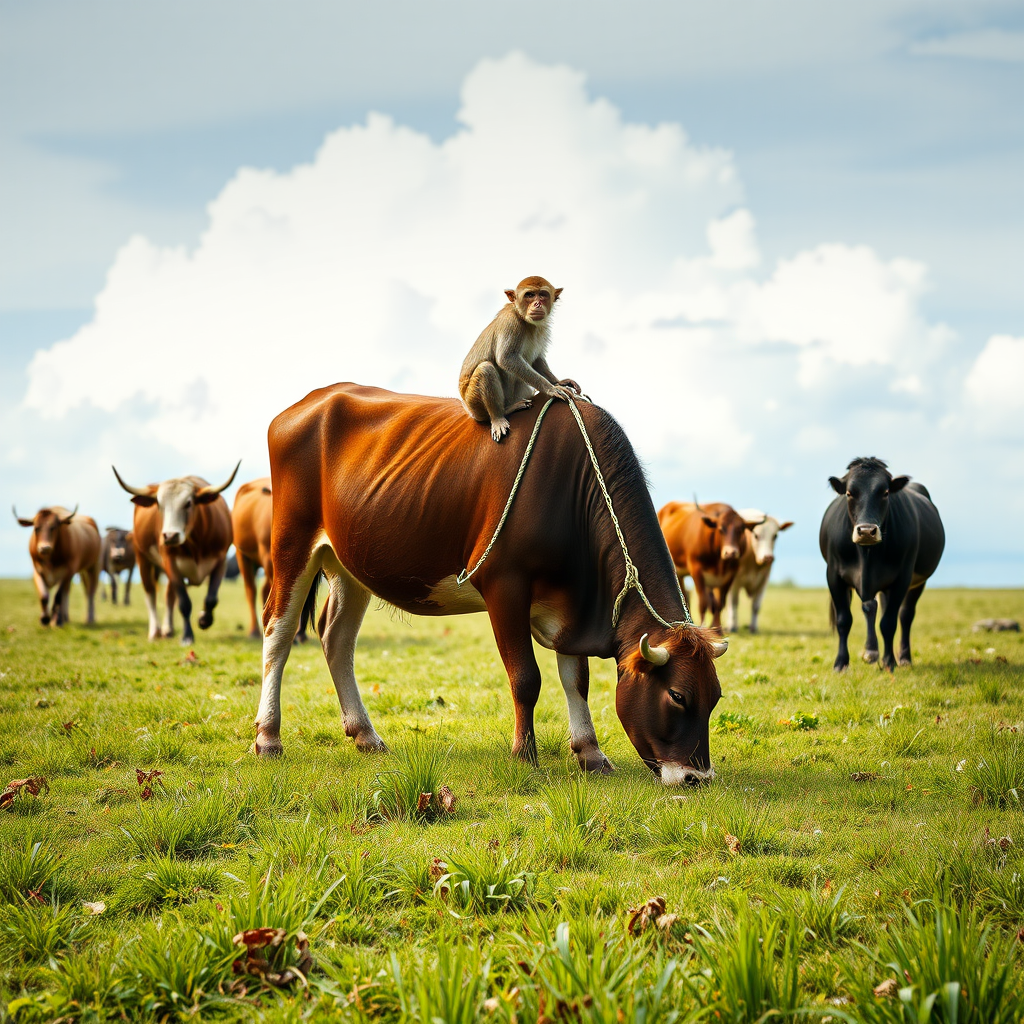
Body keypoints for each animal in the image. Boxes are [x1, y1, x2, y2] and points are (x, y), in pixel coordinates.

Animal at [112, 462, 239, 638]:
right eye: (159, 504)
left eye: (188, 503)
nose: (170, 536)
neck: (196, 542)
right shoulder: (170, 563)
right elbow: (184, 602)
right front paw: (187, 636)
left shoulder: (221, 560)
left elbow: (211, 598)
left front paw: (204, 620)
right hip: (143, 559)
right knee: (150, 593)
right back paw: (155, 631)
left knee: (169, 595)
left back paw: (168, 629)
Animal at [251, 385, 724, 782]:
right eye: (678, 696)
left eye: (716, 696)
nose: (698, 778)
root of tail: (312, 399)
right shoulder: (504, 583)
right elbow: (526, 677)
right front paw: (524, 755)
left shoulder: (572, 600)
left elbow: (577, 679)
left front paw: (590, 752)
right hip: (292, 540)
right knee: (278, 631)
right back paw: (268, 736)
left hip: (350, 563)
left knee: (337, 638)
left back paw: (365, 734)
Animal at [458, 276, 581, 444]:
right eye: (529, 295)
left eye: (542, 295)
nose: (537, 304)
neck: (525, 320)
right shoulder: (510, 322)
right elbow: (506, 359)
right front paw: (551, 388)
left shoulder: (542, 328)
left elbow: (536, 360)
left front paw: (559, 382)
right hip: (474, 404)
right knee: (485, 369)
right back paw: (500, 415)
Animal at [655, 497, 761, 630]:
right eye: (720, 529)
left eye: (741, 530)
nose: (731, 553)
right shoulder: (697, 570)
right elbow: (703, 602)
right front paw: (703, 625)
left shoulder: (730, 575)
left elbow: (719, 603)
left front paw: (718, 628)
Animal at [819, 458, 946, 671]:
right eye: (849, 493)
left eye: (885, 492)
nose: (866, 531)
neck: (867, 556)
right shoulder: (834, 575)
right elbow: (844, 620)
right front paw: (841, 663)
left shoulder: (903, 577)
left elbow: (889, 622)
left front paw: (889, 661)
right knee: (872, 607)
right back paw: (871, 652)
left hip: (916, 582)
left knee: (905, 615)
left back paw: (904, 657)